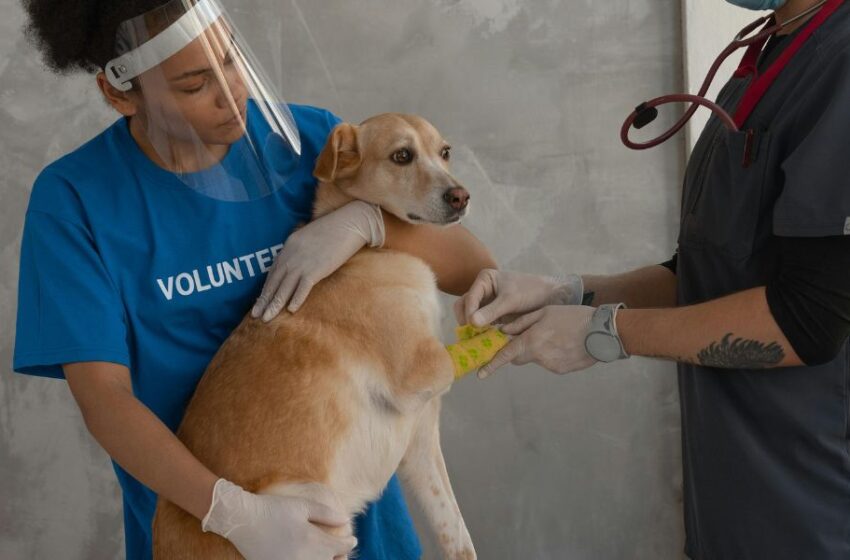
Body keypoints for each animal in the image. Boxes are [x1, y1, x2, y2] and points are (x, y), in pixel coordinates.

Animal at [152, 115, 476, 560]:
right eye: (402, 156)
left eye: (444, 153)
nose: (461, 196)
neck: (368, 252)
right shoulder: (418, 371)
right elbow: (451, 356)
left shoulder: (421, 444)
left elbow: (457, 535)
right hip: (315, 509)